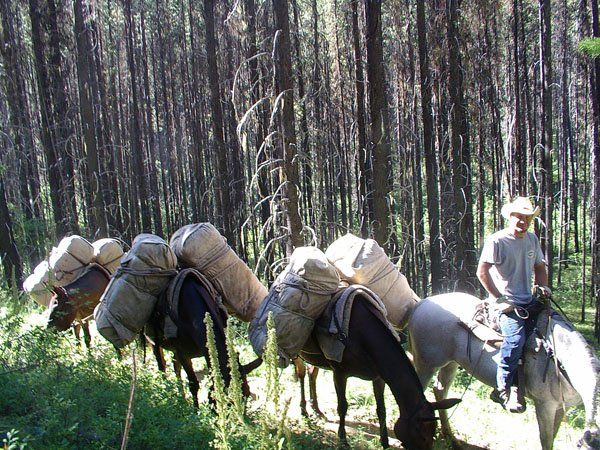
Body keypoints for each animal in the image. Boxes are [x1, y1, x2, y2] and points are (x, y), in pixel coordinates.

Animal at [300, 296, 460, 450]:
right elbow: (342, 406)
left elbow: (381, 409)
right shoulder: (339, 373)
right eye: (422, 436)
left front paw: (385, 443)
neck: (363, 336)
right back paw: (304, 410)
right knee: (301, 374)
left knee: (311, 374)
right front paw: (343, 440)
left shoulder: (379, 377)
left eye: (433, 435)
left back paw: (316, 409)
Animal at [408, 292, 600, 450]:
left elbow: (552, 436)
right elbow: (546, 440)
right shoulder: (544, 405)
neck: (559, 359)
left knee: (440, 391)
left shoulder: (561, 407)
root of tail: (422, 303)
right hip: (426, 364)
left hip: (451, 363)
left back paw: (451, 437)